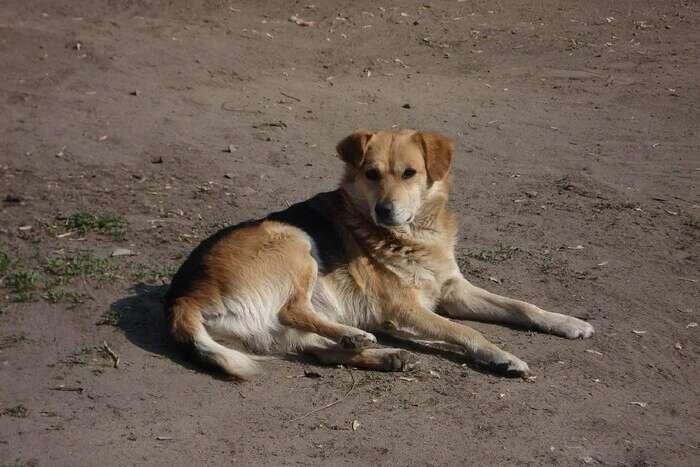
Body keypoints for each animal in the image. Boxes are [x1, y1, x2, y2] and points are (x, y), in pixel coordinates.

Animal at [165, 129, 596, 380]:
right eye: (371, 174)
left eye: (410, 173)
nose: (384, 211)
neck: (414, 235)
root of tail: (183, 298)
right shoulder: (405, 308)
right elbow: (466, 331)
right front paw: (502, 356)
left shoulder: (453, 291)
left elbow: (522, 306)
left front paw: (567, 322)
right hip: (295, 240)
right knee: (293, 309)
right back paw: (357, 336)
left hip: (280, 329)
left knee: (322, 352)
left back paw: (385, 355)